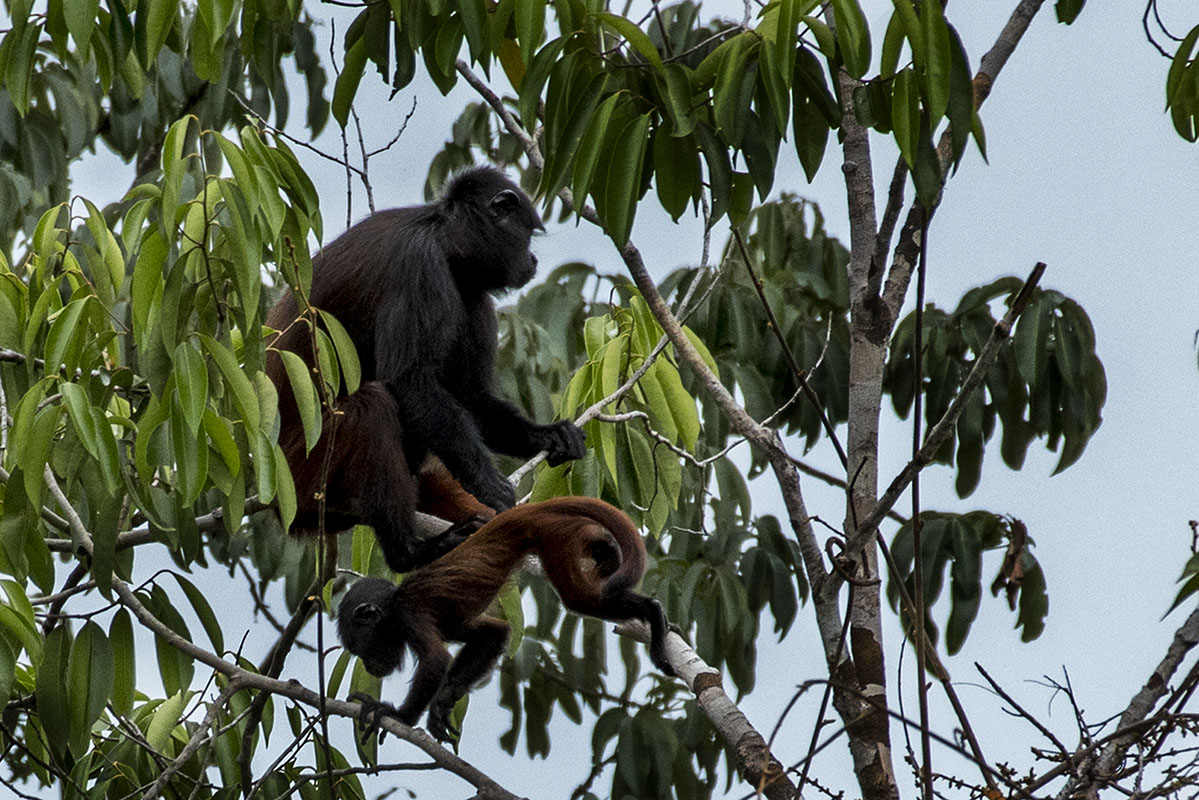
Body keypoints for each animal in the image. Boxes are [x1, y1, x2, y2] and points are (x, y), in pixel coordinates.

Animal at [266, 167, 585, 575]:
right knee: (374, 405)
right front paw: (486, 482)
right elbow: (410, 381)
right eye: (527, 234)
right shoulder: (421, 265)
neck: (441, 234)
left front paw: (546, 435)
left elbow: (467, 396)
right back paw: (408, 553)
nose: (531, 259)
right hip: (305, 470)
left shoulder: (469, 286)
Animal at [338, 496, 676, 743]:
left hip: (557, 535)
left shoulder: (409, 616)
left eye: (360, 648)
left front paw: (396, 716)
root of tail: (527, 512)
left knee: (579, 598)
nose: (369, 667)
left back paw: (653, 613)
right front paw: (442, 703)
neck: (392, 607)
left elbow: (435, 659)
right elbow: (493, 634)